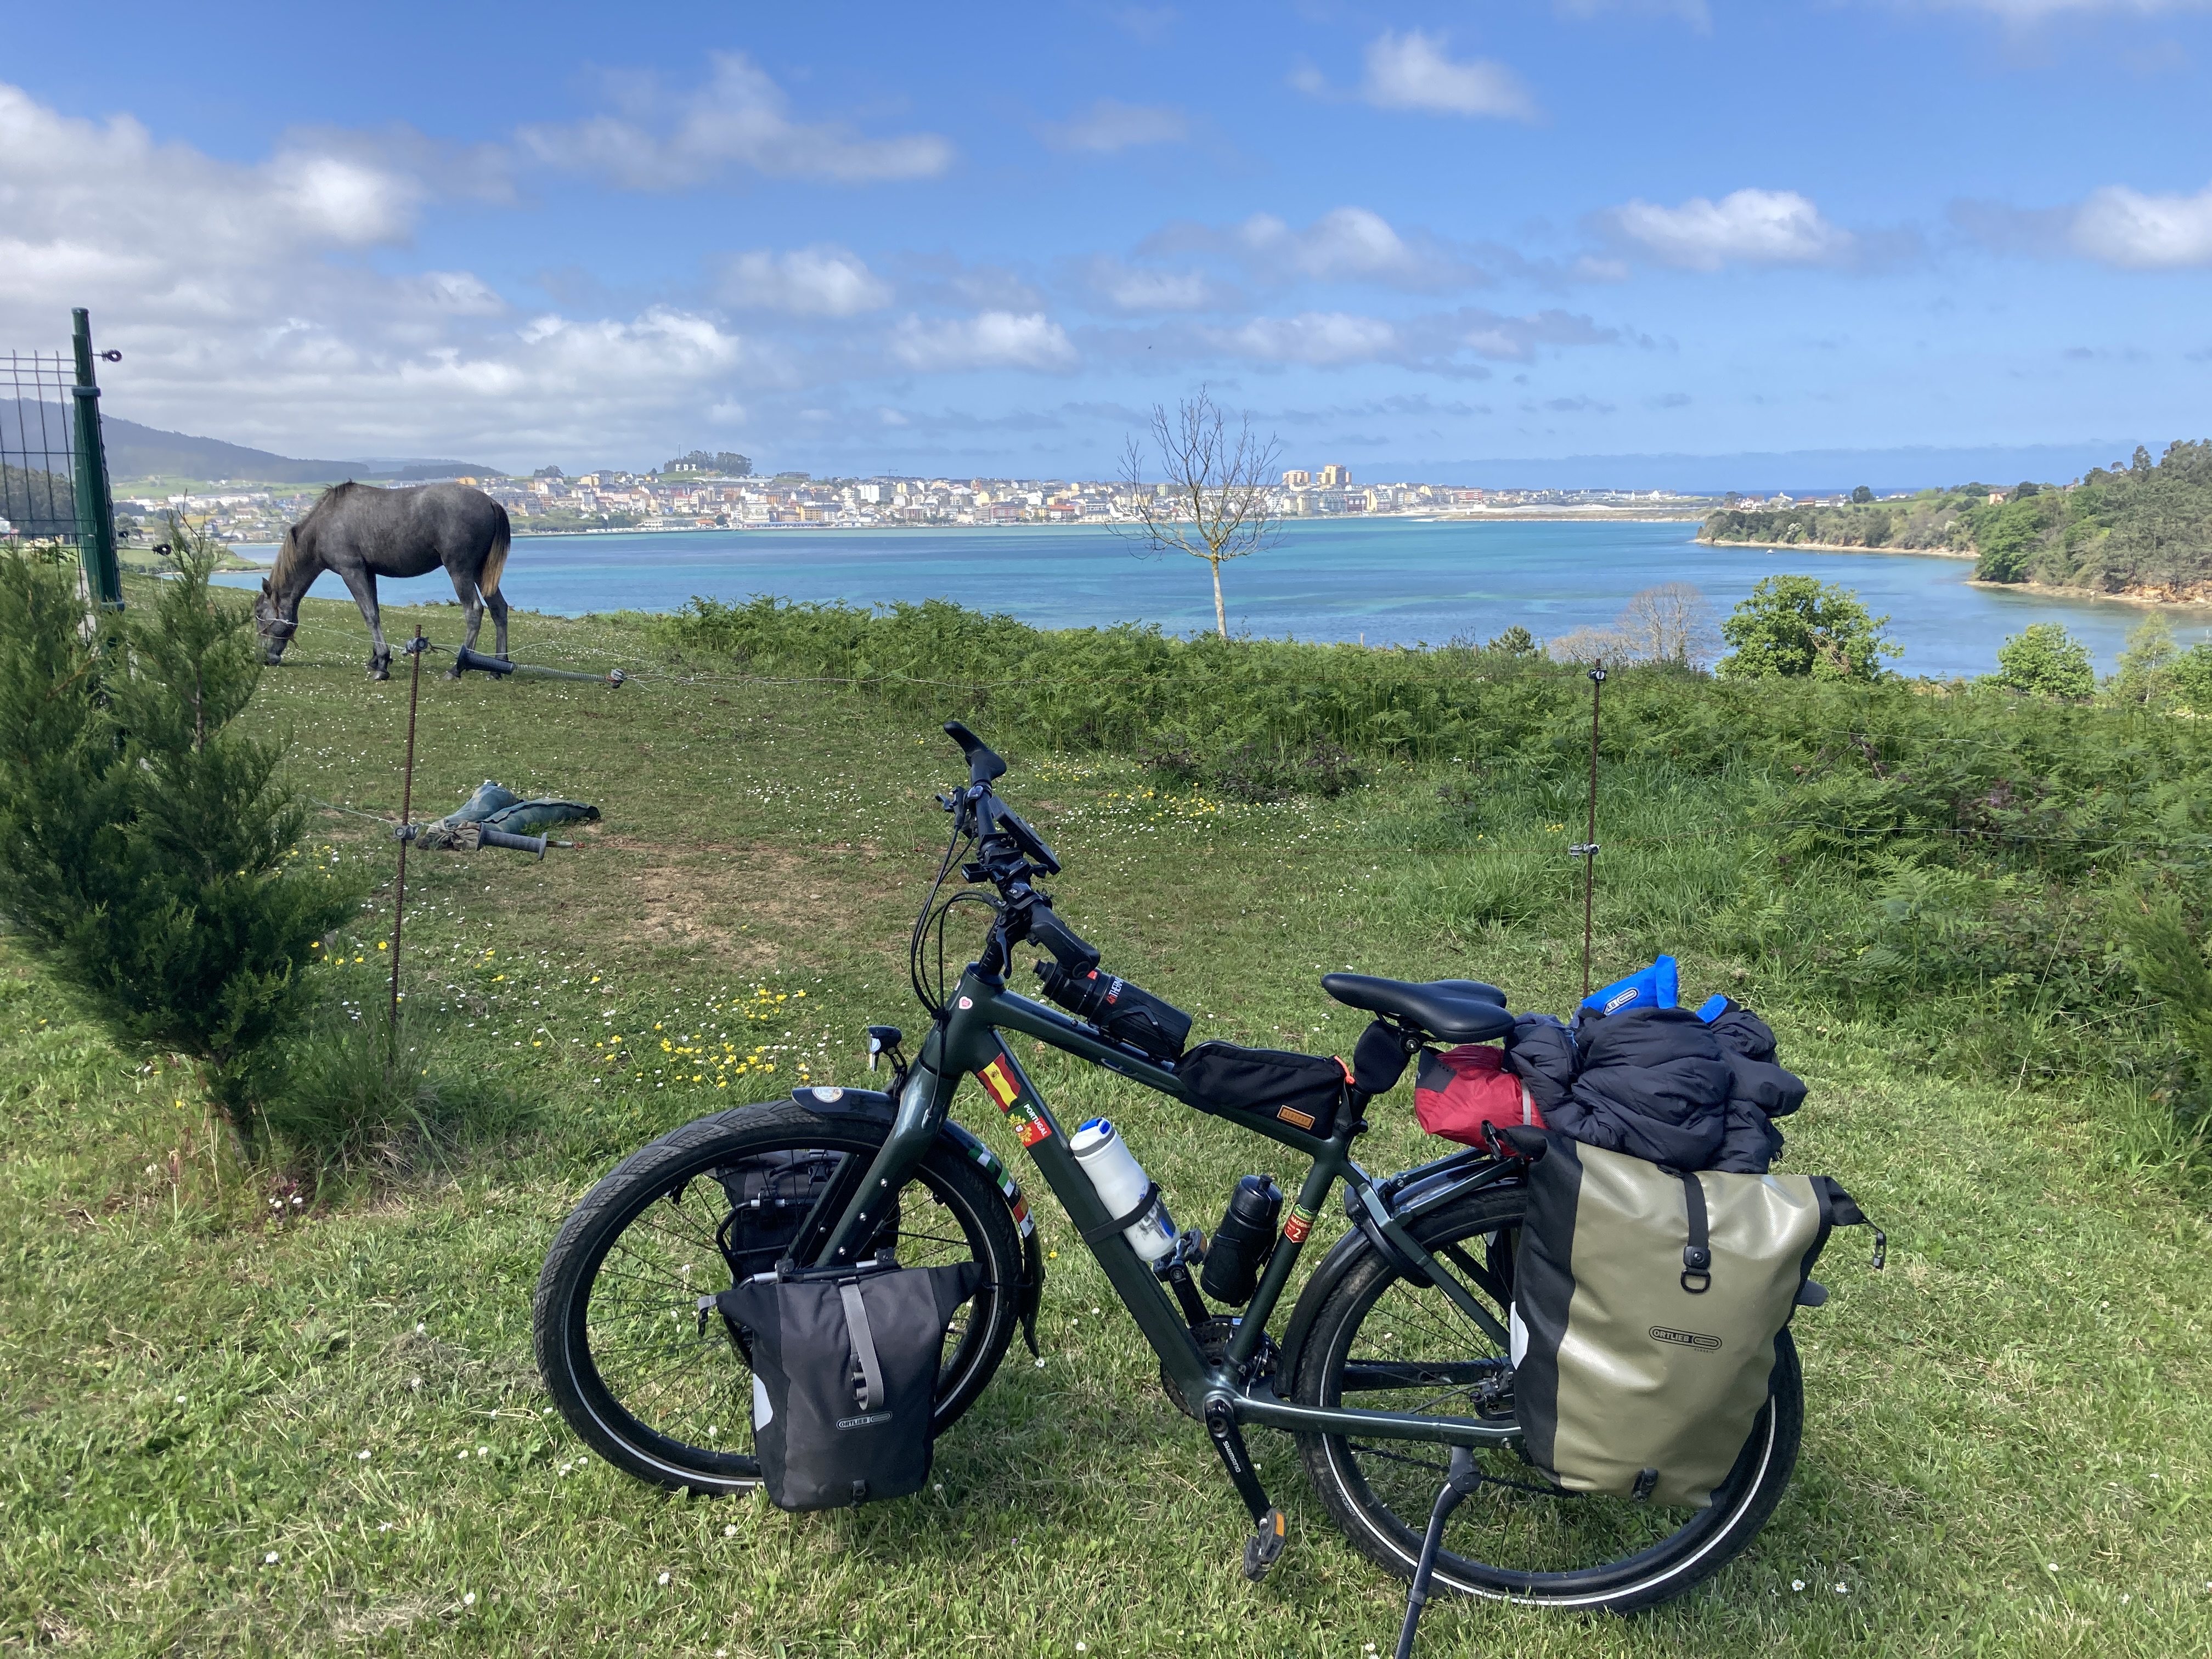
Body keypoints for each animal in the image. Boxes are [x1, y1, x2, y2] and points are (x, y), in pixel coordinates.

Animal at [255, 481, 513, 679]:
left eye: (259, 614)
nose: (264, 657)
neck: (323, 525)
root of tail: (491, 502)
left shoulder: (352, 571)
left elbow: (369, 614)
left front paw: (381, 665)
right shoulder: (368, 572)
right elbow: (375, 611)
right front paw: (378, 659)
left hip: (460, 571)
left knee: (474, 610)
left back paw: (457, 668)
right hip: (480, 572)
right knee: (499, 609)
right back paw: (498, 668)